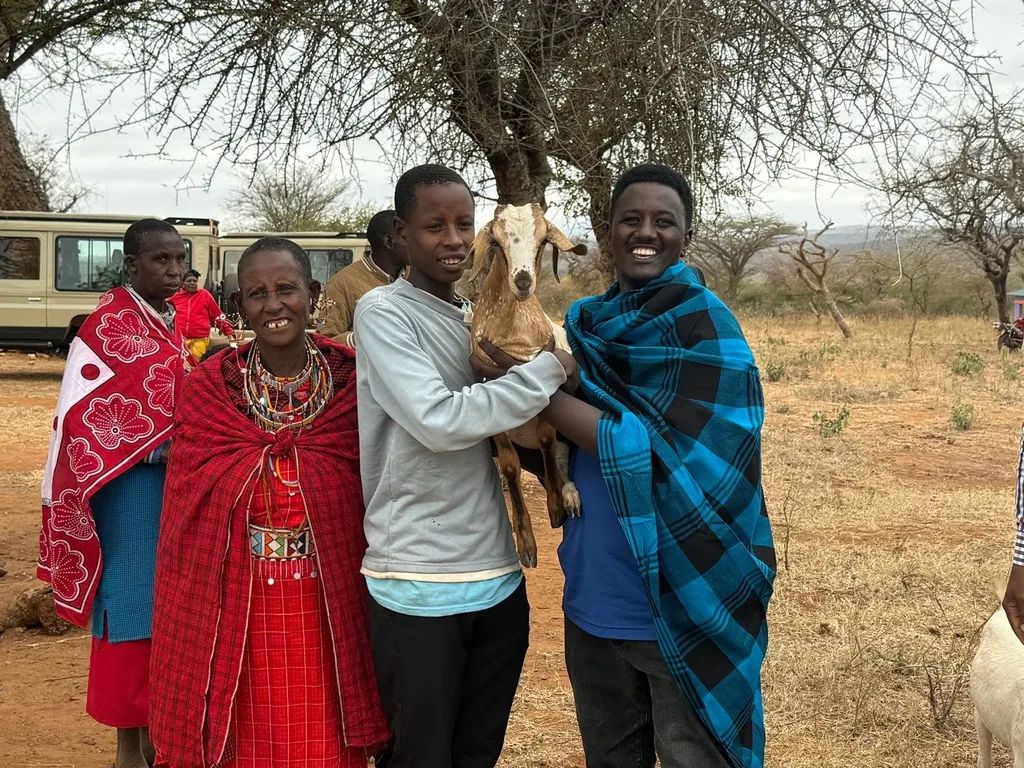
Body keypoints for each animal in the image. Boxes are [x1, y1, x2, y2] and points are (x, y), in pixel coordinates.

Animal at [468, 203, 587, 568]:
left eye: (543, 239)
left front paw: (555, 506)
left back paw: (569, 495)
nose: (523, 281)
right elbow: (509, 467)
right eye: (497, 241)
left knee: (561, 459)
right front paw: (526, 544)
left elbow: (548, 439)